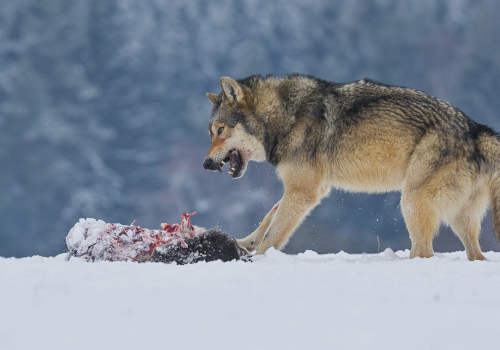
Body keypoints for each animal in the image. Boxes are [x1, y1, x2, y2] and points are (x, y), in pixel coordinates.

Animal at [203, 74, 500, 260]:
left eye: (220, 130)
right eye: (211, 132)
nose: (205, 164)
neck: (286, 117)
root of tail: (475, 129)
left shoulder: (303, 192)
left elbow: (272, 234)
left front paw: (258, 259)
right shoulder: (309, 189)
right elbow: (267, 218)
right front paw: (243, 244)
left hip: (412, 202)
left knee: (425, 253)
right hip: (457, 219)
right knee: (476, 256)